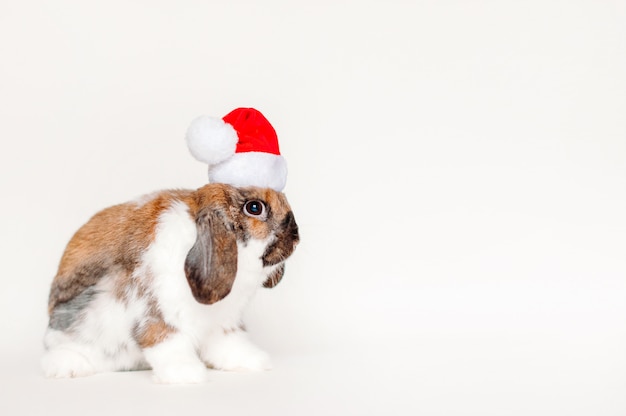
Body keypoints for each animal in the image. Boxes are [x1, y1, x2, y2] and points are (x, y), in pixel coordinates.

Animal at [42, 184, 300, 386]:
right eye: (254, 208)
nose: (296, 235)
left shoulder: (223, 322)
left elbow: (229, 342)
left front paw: (253, 362)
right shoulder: (159, 313)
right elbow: (168, 343)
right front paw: (187, 374)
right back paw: (68, 366)